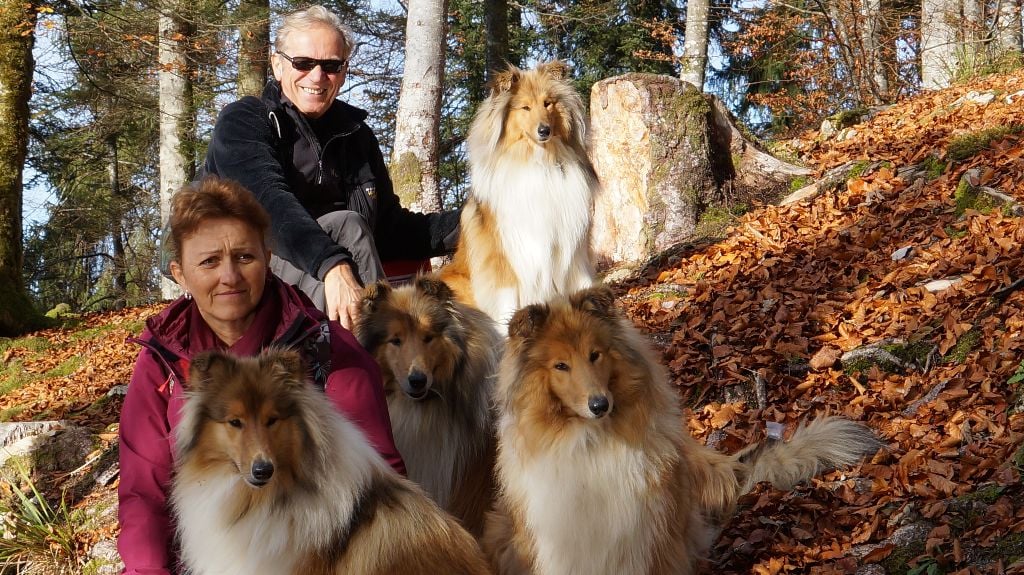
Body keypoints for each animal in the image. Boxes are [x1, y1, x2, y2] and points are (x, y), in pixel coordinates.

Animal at [440, 60, 598, 325]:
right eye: (525, 107)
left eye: (548, 103)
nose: (544, 130)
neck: (539, 162)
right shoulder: (506, 256)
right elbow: (508, 304)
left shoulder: (573, 248)